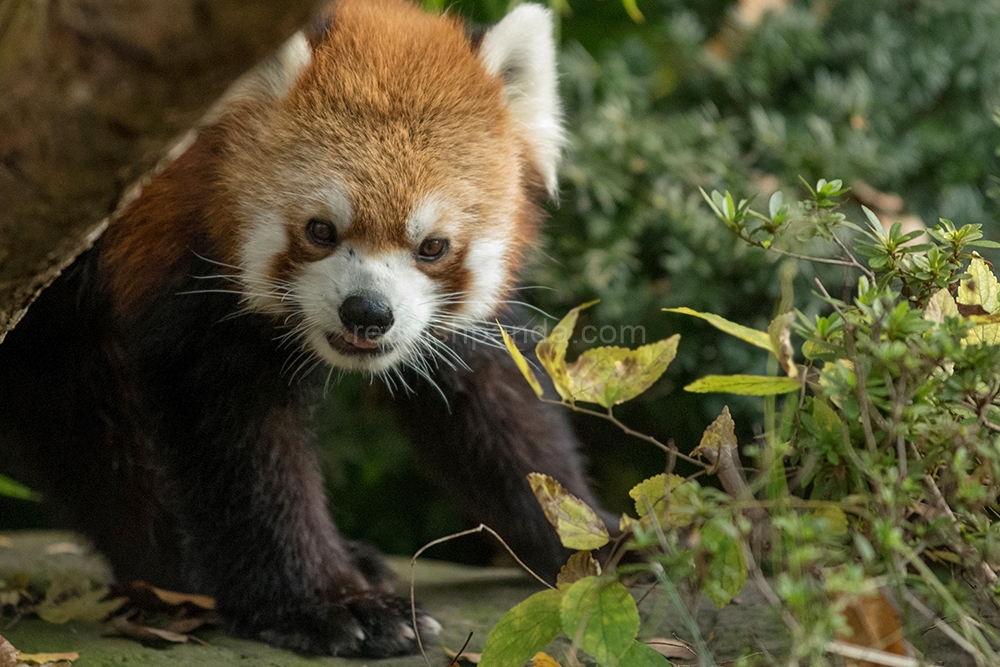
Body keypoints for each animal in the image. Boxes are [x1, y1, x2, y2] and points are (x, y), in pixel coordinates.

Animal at [0, 0, 608, 656]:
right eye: (321, 230)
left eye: (432, 246)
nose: (368, 312)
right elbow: (238, 441)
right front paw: (328, 604)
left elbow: (496, 408)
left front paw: (597, 539)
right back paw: (175, 563)